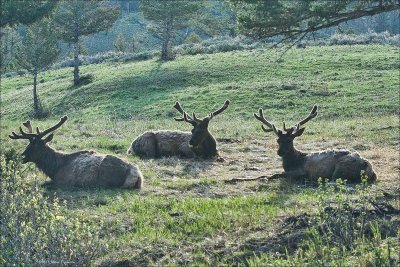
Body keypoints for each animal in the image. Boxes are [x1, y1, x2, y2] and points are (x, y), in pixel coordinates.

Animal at [8, 117, 144, 191]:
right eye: (28, 144)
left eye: (35, 145)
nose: (21, 156)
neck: (54, 168)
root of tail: (137, 174)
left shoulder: (62, 182)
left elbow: (43, 184)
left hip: (107, 180)